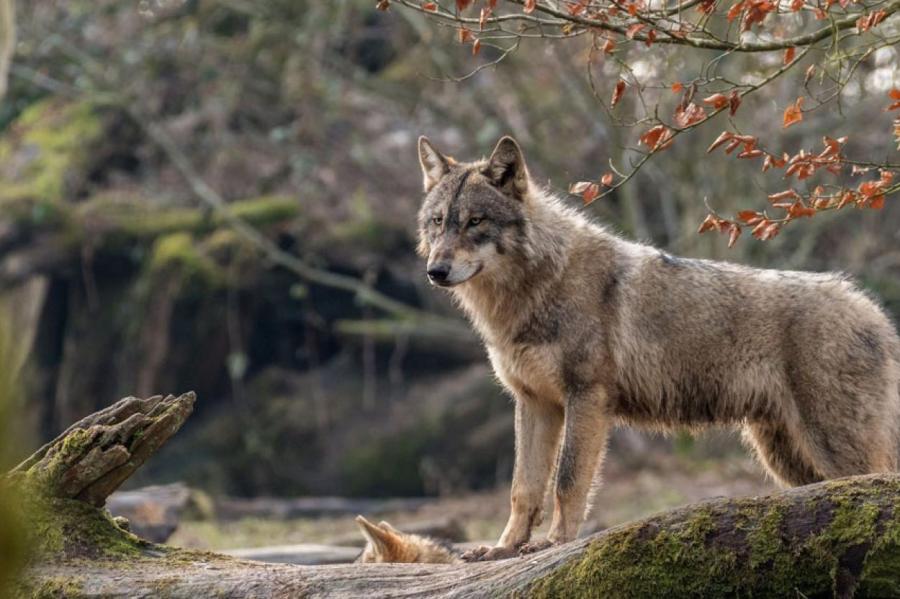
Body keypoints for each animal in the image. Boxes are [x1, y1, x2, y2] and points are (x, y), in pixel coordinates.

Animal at [414, 136, 900, 564]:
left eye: (476, 221)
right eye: (438, 222)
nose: (436, 271)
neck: (533, 289)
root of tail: (875, 312)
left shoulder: (586, 397)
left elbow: (567, 481)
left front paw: (553, 544)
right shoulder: (534, 402)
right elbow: (523, 488)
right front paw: (503, 549)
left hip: (832, 451)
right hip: (787, 460)